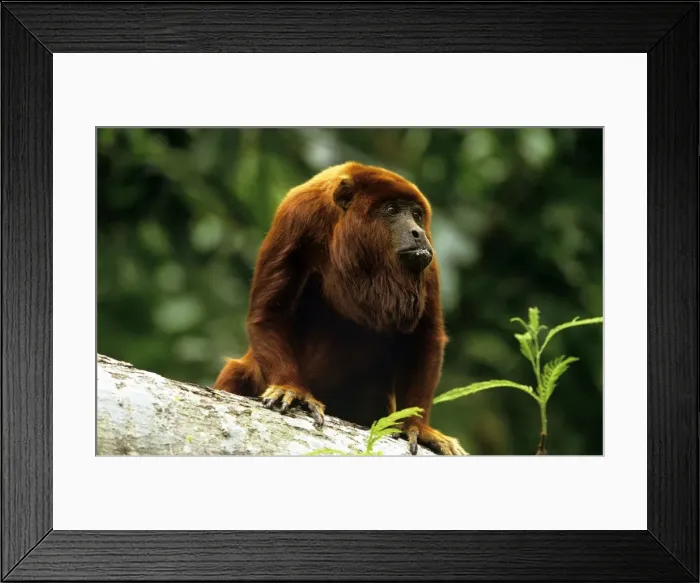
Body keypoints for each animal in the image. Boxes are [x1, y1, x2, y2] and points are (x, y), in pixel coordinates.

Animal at [214, 161, 466, 455]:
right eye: (391, 210)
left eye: (416, 215)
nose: (418, 233)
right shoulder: (296, 216)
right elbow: (269, 312)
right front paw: (291, 388)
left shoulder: (429, 258)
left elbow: (426, 335)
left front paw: (417, 426)